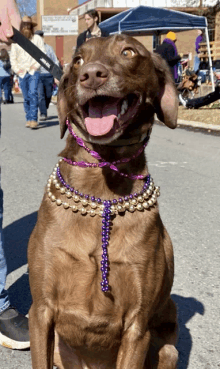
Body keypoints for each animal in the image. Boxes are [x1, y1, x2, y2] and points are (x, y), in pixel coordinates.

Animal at [27, 33, 179, 366]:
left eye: (128, 52)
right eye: (78, 60)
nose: (92, 75)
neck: (101, 195)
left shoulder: (137, 326)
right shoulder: (41, 311)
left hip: (168, 349)